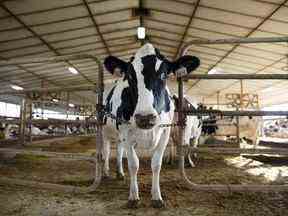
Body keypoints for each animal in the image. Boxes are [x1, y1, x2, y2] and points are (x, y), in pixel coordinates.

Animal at [103, 43, 200, 208]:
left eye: (164, 75)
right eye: (130, 76)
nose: (145, 118)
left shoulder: (165, 133)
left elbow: (156, 164)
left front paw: (156, 197)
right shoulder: (126, 134)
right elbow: (133, 164)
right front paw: (133, 197)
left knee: (119, 151)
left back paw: (120, 173)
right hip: (104, 131)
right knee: (106, 151)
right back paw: (105, 173)